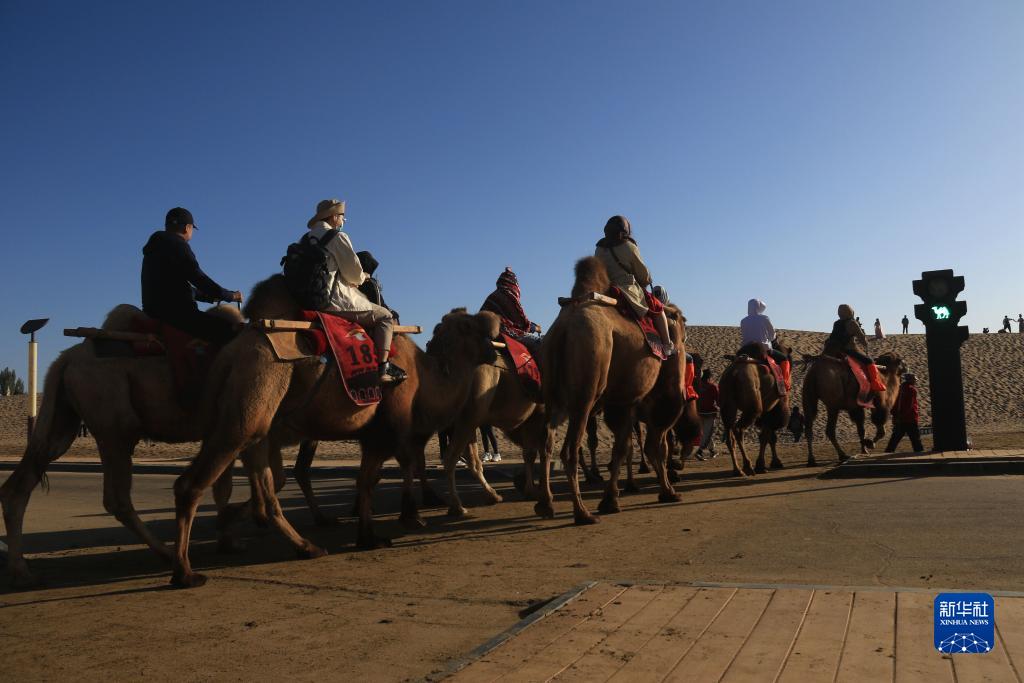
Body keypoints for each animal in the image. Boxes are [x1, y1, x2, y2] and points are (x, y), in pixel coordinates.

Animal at [0, 304, 243, 588]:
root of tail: (66, 359)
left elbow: (224, 486)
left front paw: (228, 541)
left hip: (64, 418)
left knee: (25, 478)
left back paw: (21, 571)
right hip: (114, 421)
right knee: (116, 497)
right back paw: (170, 556)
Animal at [170, 276, 501, 587]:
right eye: (471, 326)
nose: (495, 351)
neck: (424, 376)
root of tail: (230, 353)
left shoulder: (374, 434)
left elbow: (371, 479)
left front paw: (375, 531)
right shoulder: (393, 424)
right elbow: (391, 469)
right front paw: (399, 522)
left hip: (251, 422)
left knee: (269, 483)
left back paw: (298, 543)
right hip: (249, 407)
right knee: (193, 484)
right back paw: (185, 572)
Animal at [536, 257, 686, 524]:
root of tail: (563, 329)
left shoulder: (624, 401)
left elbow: (622, 447)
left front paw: (611, 499)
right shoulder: (656, 395)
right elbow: (655, 446)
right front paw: (668, 491)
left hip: (553, 395)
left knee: (546, 441)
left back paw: (545, 504)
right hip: (585, 390)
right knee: (570, 449)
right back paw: (582, 512)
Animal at [718, 343, 792, 476]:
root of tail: (734, 375)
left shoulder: (766, 411)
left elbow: (768, 436)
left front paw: (771, 462)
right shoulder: (771, 410)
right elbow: (766, 436)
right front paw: (763, 465)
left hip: (727, 407)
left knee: (730, 437)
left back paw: (738, 470)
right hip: (753, 408)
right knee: (739, 429)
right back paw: (748, 466)